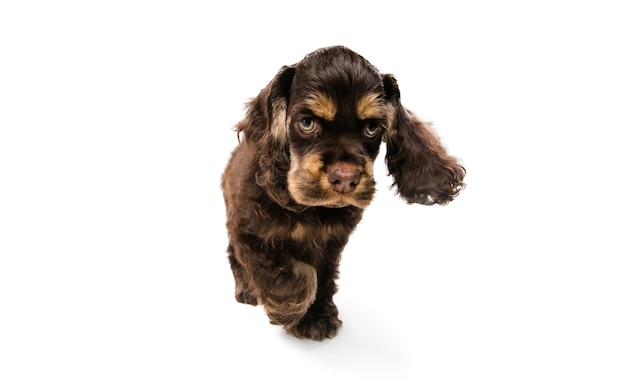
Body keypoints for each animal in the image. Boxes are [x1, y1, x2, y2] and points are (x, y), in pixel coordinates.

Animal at [221, 45, 464, 340]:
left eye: (372, 128)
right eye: (306, 123)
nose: (346, 179)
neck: (313, 211)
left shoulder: (332, 243)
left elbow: (322, 276)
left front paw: (316, 316)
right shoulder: (248, 232)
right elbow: (292, 274)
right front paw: (286, 310)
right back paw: (247, 291)